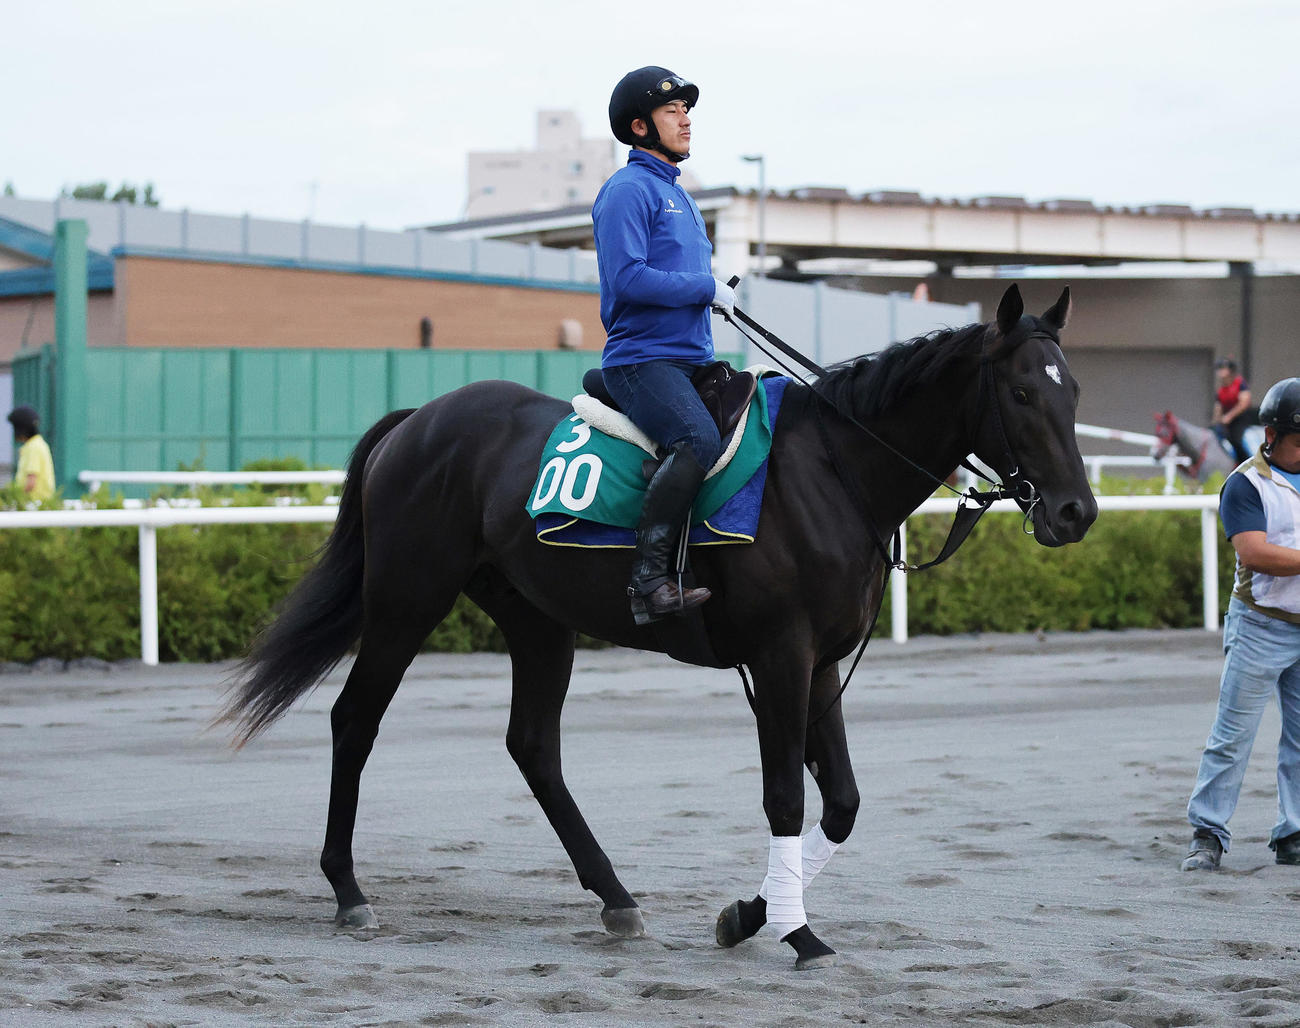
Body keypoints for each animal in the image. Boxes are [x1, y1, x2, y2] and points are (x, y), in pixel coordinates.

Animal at [220, 283, 1098, 969]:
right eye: (1022, 395)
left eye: (1075, 394)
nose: (1075, 513)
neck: (833, 472)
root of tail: (418, 420)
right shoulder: (782, 656)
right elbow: (786, 798)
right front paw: (796, 933)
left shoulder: (820, 664)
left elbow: (841, 802)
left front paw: (749, 915)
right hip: (407, 600)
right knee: (354, 720)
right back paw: (348, 890)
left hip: (538, 619)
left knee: (533, 747)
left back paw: (615, 897)